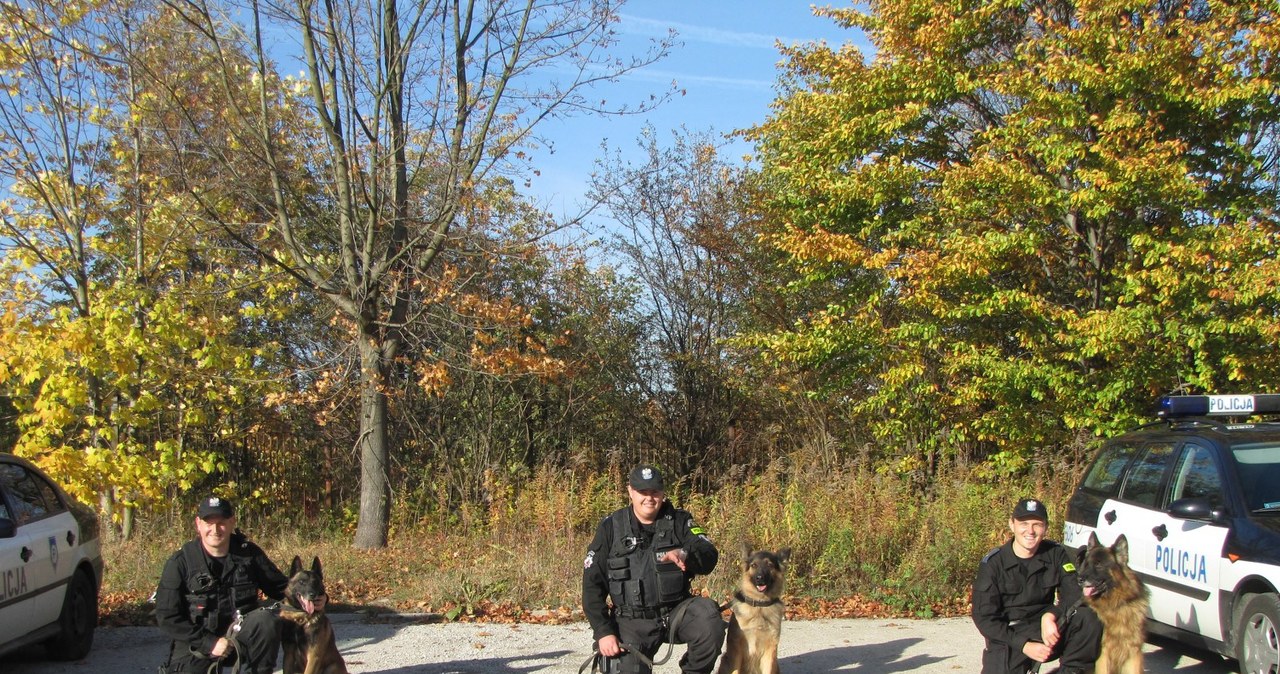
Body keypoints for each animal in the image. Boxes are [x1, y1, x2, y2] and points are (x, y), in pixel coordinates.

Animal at [721, 542, 788, 674]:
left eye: (769, 565)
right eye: (754, 565)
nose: (759, 578)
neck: (759, 604)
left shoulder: (770, 649)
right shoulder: (737, 648)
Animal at [1080, 532, 1152, 674]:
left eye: (1099, 564)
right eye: (1086, 564)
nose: (1079, 578)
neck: (1116, 605)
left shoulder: (1133, 652)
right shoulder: (1103, 654)